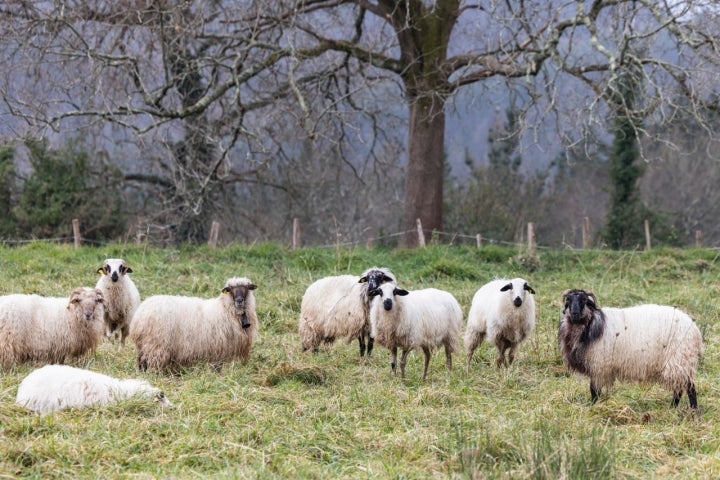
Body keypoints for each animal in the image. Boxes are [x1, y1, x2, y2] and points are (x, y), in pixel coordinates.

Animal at [129, 276, 258, 374]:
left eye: (247, 288)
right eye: (230, 289)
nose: (239, 301)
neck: (224, 309)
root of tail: (139, 315)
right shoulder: (218, 347)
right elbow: (217, 367)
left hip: (143, 345)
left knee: (141, 362)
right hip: (156, 345)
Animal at [556, 288, 704, 408]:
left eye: (584, 300)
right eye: (568, 300)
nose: (574, 313)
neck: (589, 324)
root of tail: (695, 330)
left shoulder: (598, 366)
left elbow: (594, 391)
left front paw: (593, 407)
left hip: (679, 359)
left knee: (689, 387)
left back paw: (693, 410)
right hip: (679, 362)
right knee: (679, 388)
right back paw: (673, 408)